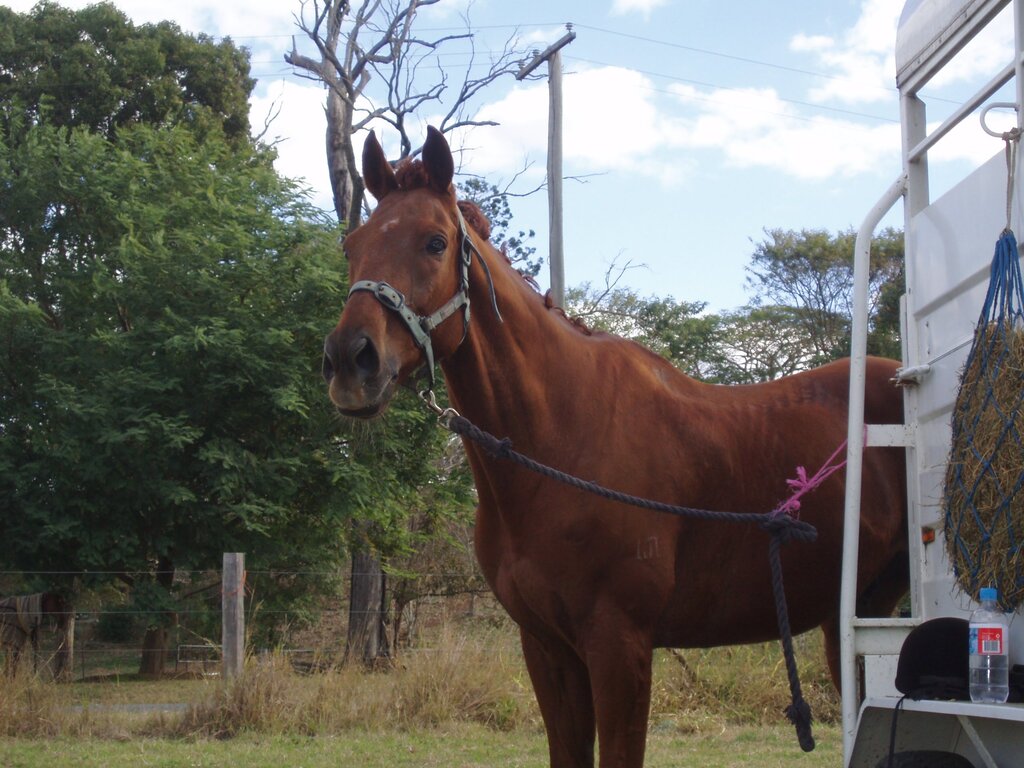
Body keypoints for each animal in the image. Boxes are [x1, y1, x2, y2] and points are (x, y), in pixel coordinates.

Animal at [322, 126, 908, 768]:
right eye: (351, 245)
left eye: (435, 242)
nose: (350, 361)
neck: (559, 444)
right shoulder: (547, 649)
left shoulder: (618, 646)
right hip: (860, 614)